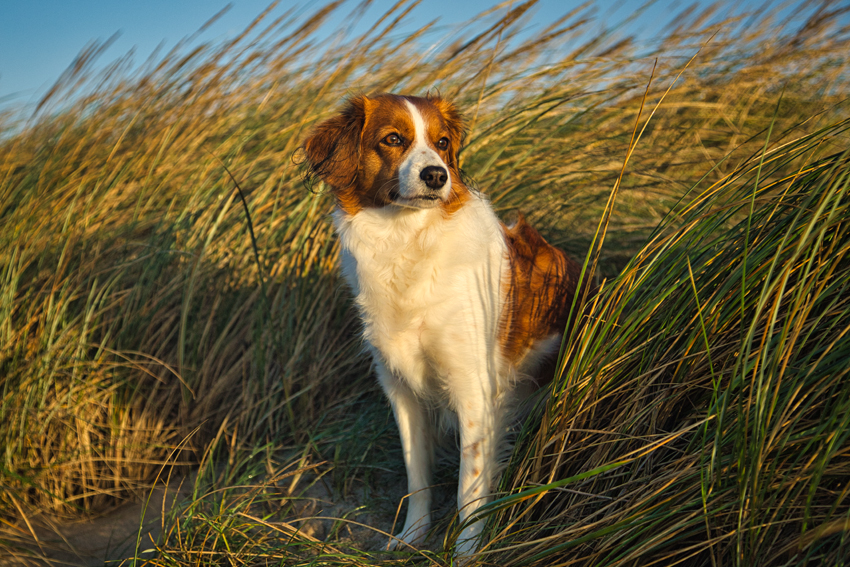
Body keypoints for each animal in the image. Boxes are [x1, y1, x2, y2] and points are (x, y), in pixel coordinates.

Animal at [302, 93, 588, 560]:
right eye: (393, 139)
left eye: (442, 142)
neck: (406, 240)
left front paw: (466, 552)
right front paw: (411, 537)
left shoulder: (474, 389)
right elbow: (417, 476)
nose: (436, 175)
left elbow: (468, 490)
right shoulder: (401, 389)